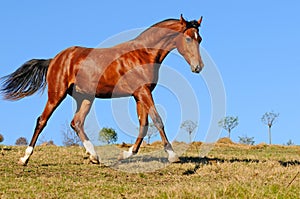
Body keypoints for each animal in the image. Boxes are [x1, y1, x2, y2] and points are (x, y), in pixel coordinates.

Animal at [0, 14, 204, 166]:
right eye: (188, 38)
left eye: (199, 39)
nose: (198, 67)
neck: (142, 53)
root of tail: (55, 59)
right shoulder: (142, 92)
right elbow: (157, 120)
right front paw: (172, 155)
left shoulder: (140, 94)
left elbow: (144, 125)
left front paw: (126, 154)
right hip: (56, 94)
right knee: (42, 121)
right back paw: (25, 158)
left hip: (85, 98)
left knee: (77, 122)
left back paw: (94, 156)